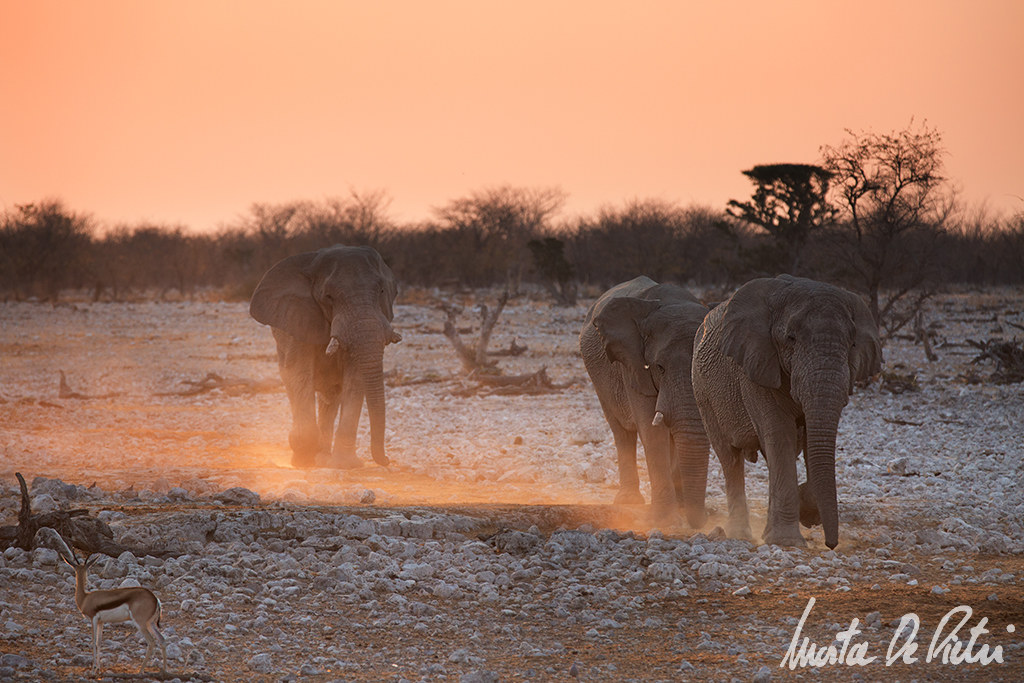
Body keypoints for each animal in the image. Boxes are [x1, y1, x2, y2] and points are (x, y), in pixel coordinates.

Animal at [249, 245, 401, 471]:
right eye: (328, 297)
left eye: (381, 291)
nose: (387, 460)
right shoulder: (297, 319)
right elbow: (298, 372)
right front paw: (303, 459)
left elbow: (355, 378)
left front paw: (345, 464)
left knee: (330, 396)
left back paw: (323, 456)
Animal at [581, 278, 716, 528]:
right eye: (659, 367)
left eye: (700, 367)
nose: (702, 520)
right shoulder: (632, 362)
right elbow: (652, 432)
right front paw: (666, 521)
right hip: (598, 379)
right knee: (622, 432)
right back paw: (629, 501)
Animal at [692, 274, 884, 548]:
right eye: (790, 338)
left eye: (852, 343)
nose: (831, 544)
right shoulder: (756, 366)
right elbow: (779, 432)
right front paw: (786, 541)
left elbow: (806, 439)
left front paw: (806, 511)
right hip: (703, 393)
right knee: (730, 458)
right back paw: (741, 534)